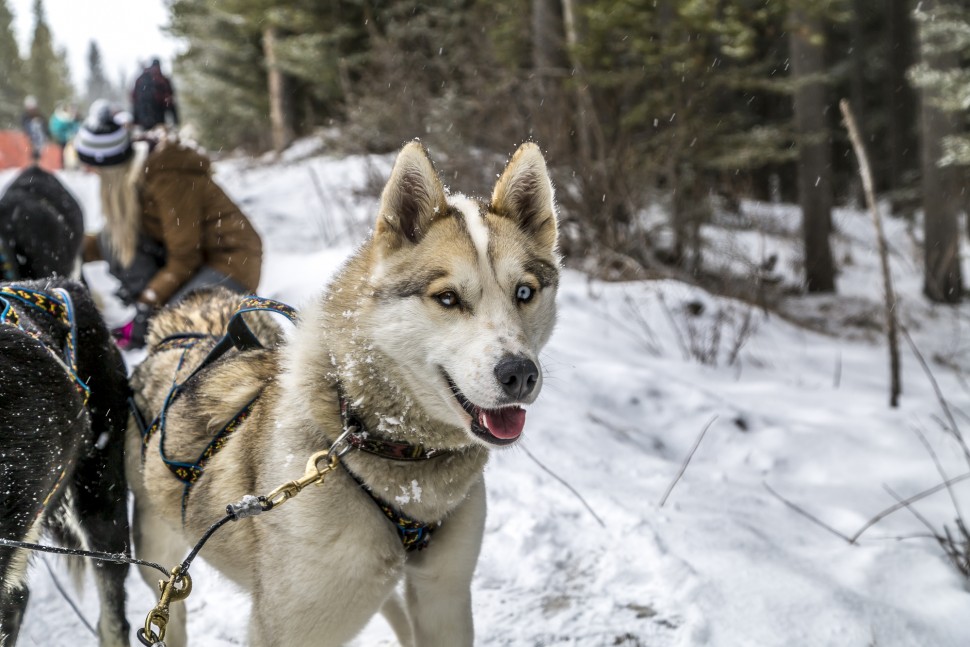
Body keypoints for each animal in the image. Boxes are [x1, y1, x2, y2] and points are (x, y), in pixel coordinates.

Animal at [126, 142, 560, 647]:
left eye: (524, 292)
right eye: (448, 298)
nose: (520, 374)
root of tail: (179, 325)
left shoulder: (445, 598)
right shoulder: (292, 625)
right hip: (161, 565)